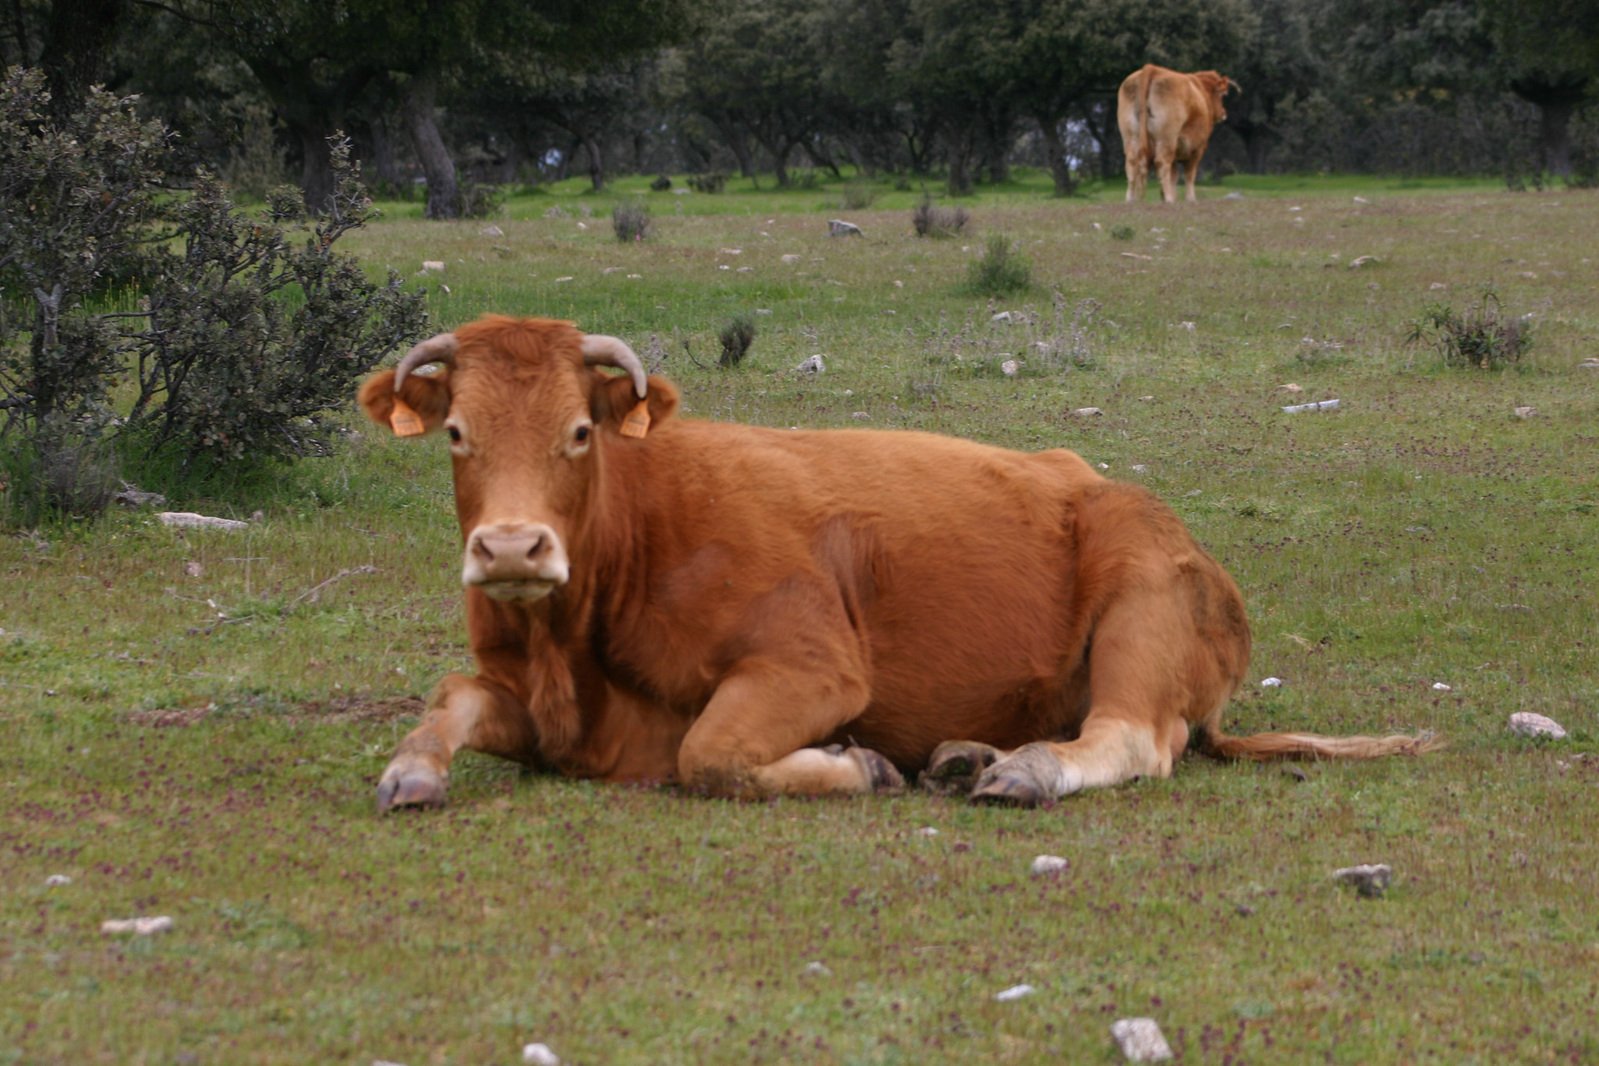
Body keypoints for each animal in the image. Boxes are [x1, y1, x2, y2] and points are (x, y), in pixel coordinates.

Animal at [1119, 64, 1240, 204]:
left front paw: (1168, 196)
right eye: (1222, 94)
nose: (1223, 113)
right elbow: (1189, 174)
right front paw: (1190, 199)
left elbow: (1174, 175)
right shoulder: (1197, 148)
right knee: (1162, 163)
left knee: (1132, 164)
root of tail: (1152, 68)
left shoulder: (1176, 155)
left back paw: (1131, 200)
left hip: (1131, 137)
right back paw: (1169, 199)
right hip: (1167, 139)